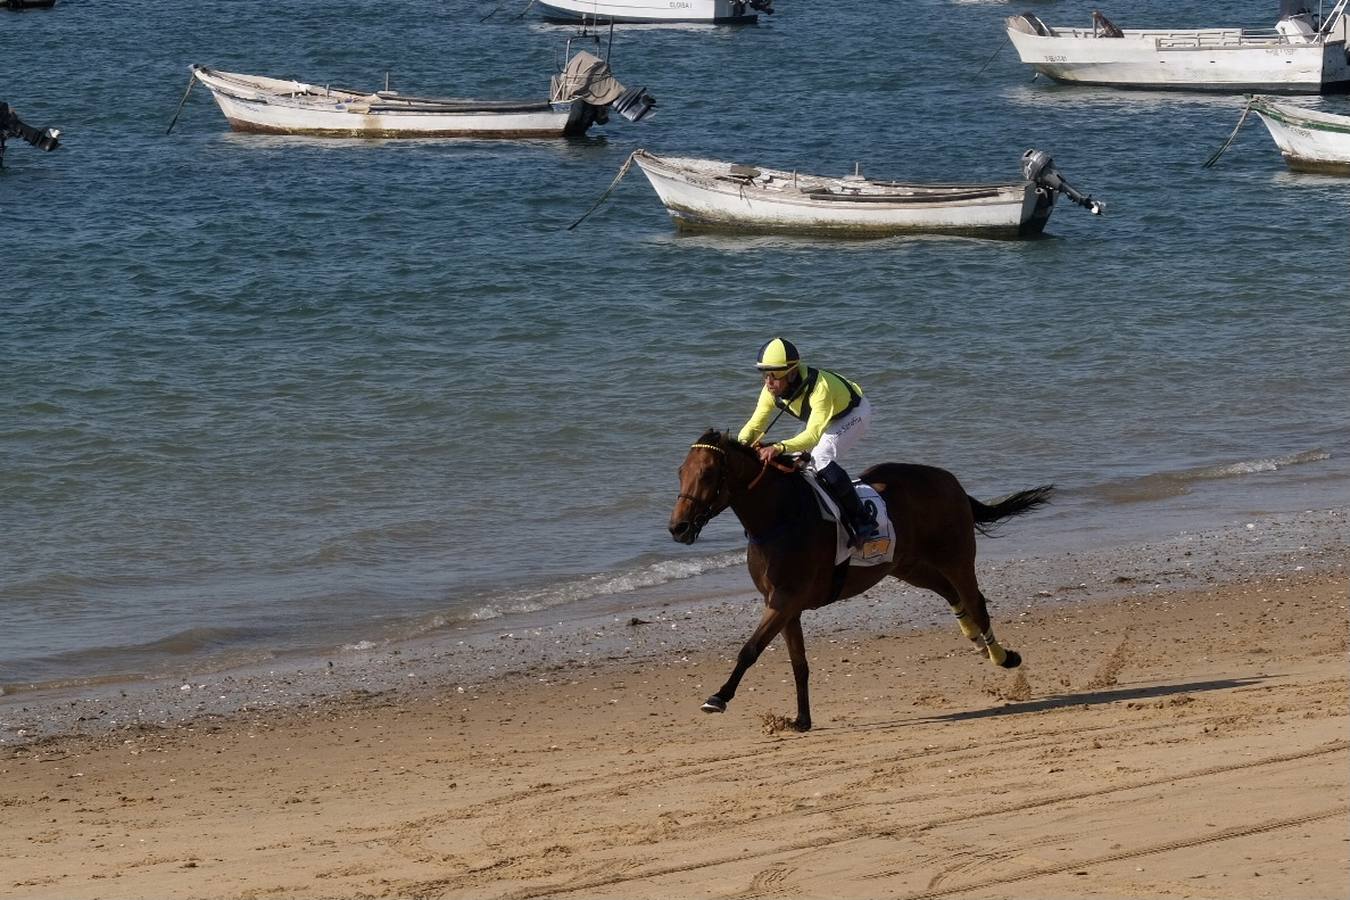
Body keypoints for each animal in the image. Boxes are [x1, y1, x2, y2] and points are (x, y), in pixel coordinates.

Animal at [664, 429, 1053, 734]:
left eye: (709, 474)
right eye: (681, 472)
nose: (678, 527)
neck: (780, 517)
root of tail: (949, 480)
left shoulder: (785, 599)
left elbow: (750, 649)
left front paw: (718, 697)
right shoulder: (784, 605)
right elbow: (798, 663)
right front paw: (802, 719)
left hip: (955, 557)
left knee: (975, 600)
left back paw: (1003, 656)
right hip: (908, 565)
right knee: (951, 596)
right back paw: (977, 643)